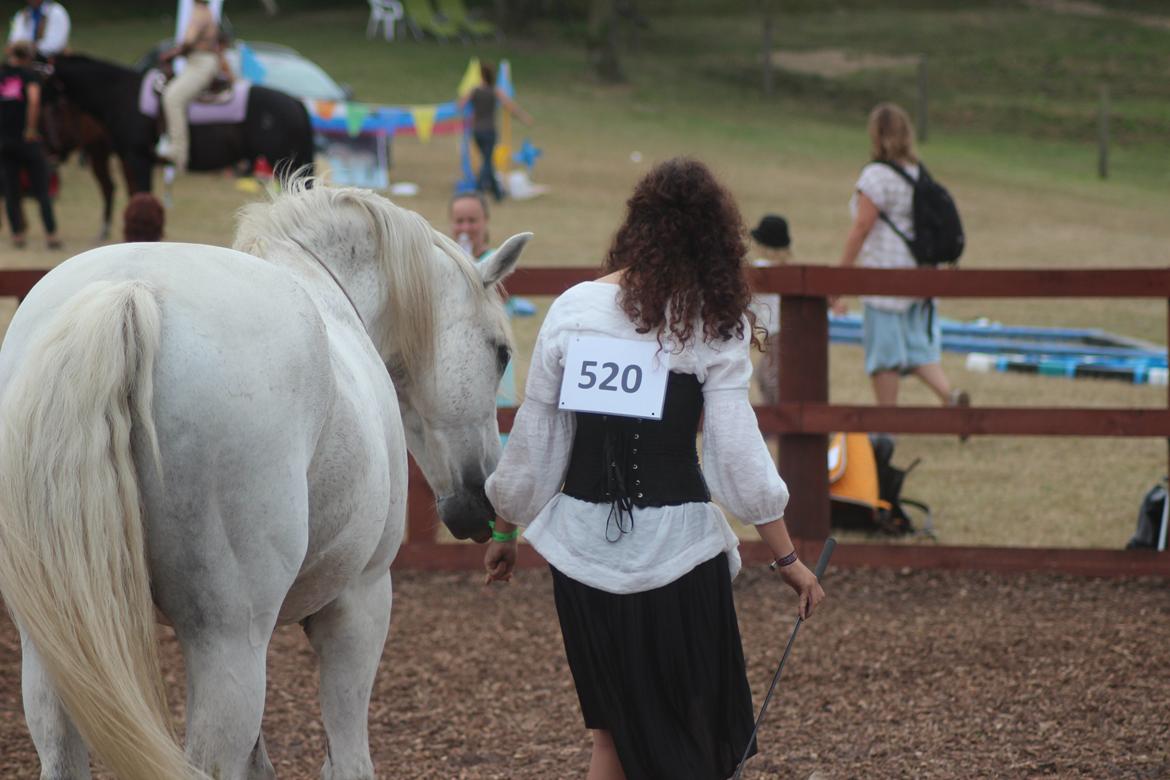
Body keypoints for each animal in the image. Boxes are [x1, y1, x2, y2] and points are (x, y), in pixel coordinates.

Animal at [0, 180, 526, 776]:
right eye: (501, 353)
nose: (482, 499)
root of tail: (128, 293)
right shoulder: (359, 603)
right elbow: (348, 761)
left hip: (53, 644)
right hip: (227, 644)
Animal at [46, 53, 315, 194]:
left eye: (51, 100)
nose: (52, 150)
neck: (120, 94)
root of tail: (295, 102)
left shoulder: (138, 158)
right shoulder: (127, 160)